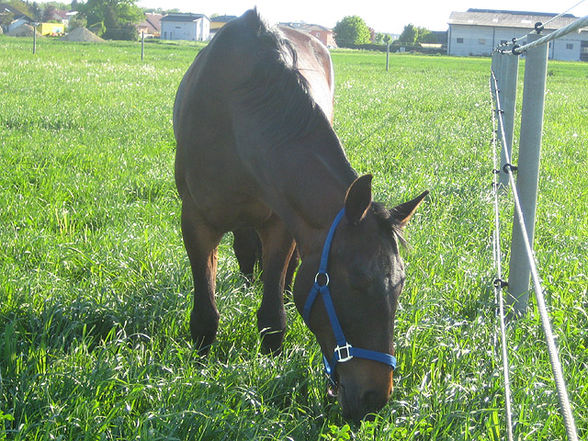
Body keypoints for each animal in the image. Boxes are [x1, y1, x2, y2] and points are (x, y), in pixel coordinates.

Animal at [175, 9, 428, 420]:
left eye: (400, 284)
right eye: (357, 283)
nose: (375, 398)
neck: (239, 113)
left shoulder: (281, 223)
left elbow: (274, 311)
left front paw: (271, 360)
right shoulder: (196, 221)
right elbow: (205, 314)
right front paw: (199, 361)